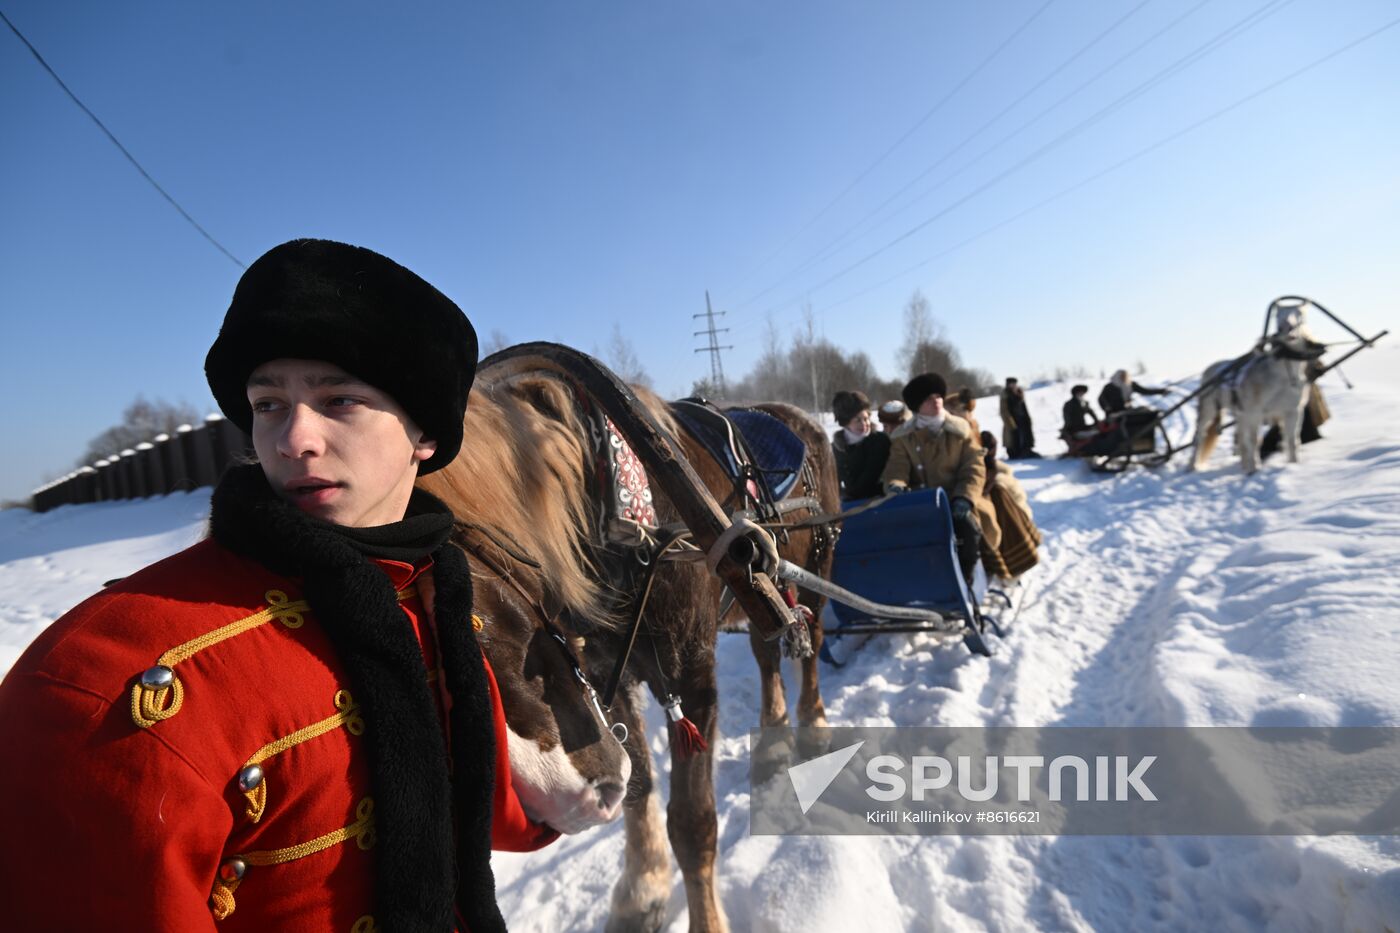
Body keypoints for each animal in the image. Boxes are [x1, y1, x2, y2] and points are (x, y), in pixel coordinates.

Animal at [1192, 301, 1321, 473]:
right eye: (1277, 315)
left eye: (1300, 313)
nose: (1285, 328)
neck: (1282, 376)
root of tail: (1210, 370)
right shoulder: (1255, 413)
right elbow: (1254, 442)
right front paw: (1255, 470)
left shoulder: (1292, 411)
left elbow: (1292, 441)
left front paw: (1293, 465)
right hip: (1208, 410)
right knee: (1200, 436)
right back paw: (1192, 466)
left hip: (1240, 414)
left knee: (1240, 438)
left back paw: (1243, 466)